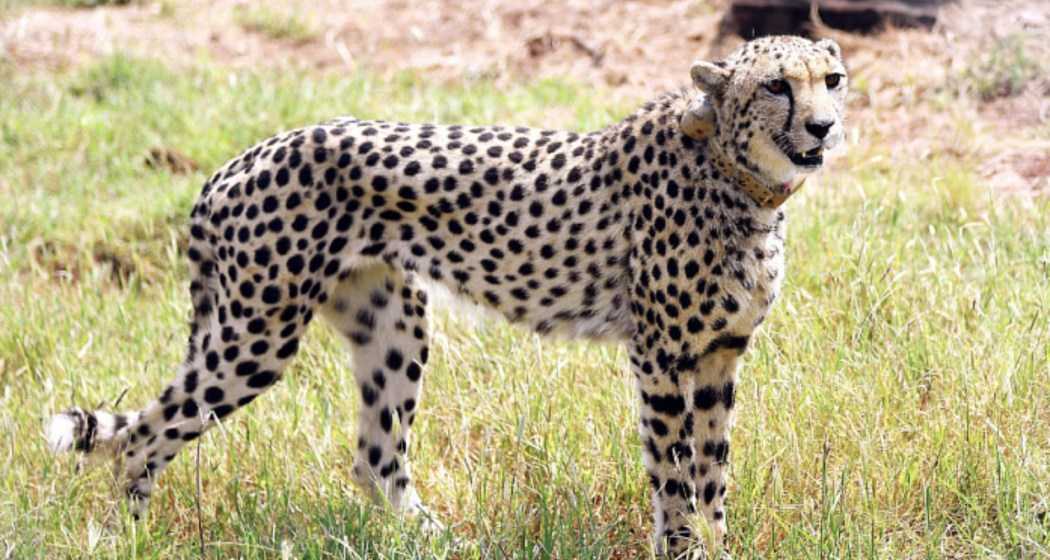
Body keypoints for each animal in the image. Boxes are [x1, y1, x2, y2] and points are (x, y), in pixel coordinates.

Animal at [47, 37, 844, 554]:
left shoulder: (718, 357)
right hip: (256, 335)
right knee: (143, 436)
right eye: (777, 86)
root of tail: (236, 161)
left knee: (375, 456)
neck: (741, 177)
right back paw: (132, 539)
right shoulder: (661, 356)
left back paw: (436, 541)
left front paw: (719, 544)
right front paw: (684, 548)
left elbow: (713, 474)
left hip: (392, 324)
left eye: (832, 79)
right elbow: (674, 474)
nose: (824, 125)